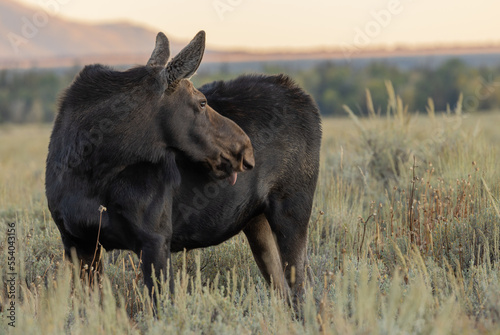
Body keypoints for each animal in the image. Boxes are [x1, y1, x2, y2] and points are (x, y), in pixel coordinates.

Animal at [46, 30, 320, 304]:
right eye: (202, 102)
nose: (246, 150)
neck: (91, 172)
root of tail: (306, 99)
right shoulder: (77, 242)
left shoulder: (155, 239)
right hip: (257, 221)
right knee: (286, 292)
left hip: (291, 208)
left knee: (302, 291)